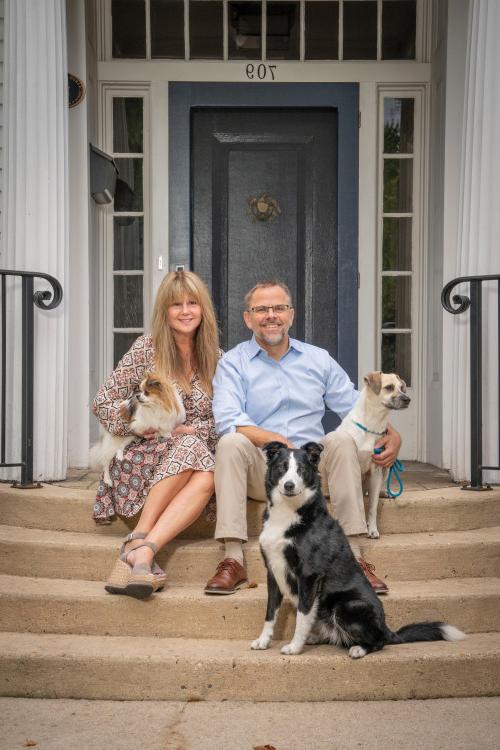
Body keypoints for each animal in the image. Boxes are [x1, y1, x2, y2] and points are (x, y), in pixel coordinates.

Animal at [336, 372, 410, 536]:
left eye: (402, 388)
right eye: (389, 387)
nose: (408, 399)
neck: (373, 425)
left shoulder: (376, 471)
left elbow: (372, 507)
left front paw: (372, 529)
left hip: (387, 468)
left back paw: (386, 493)